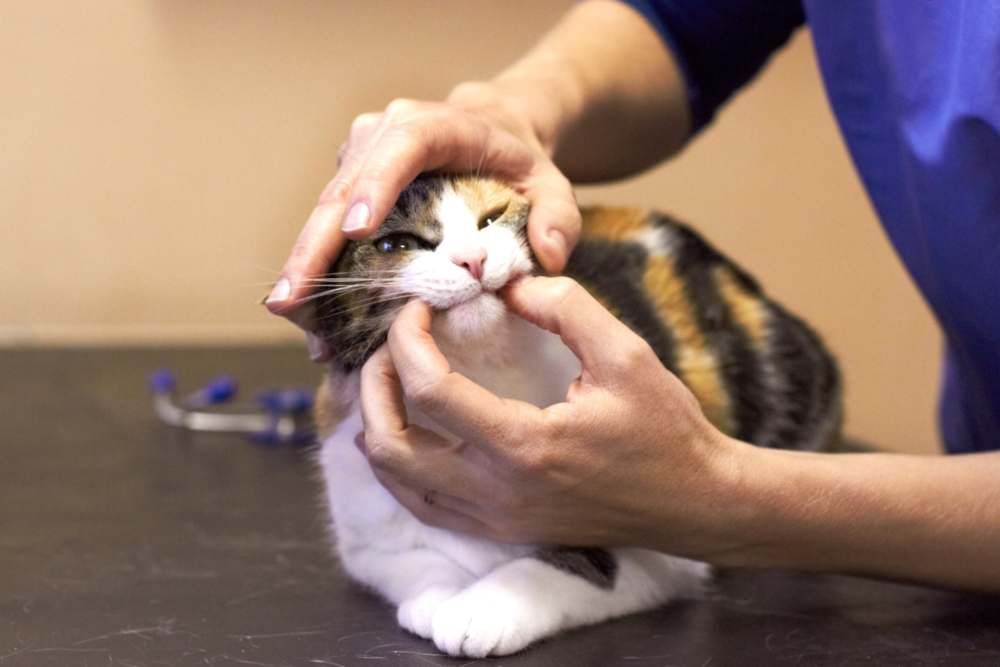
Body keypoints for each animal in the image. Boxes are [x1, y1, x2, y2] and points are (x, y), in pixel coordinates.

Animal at [312, 174, 844, 656]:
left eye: (491, 218)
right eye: (396, 243)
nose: (473, 258)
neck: (483, 375)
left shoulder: (663, 545)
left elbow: (572, 563)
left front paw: (483, 608)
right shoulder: (364, 526)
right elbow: (416, 562)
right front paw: (439, 598)